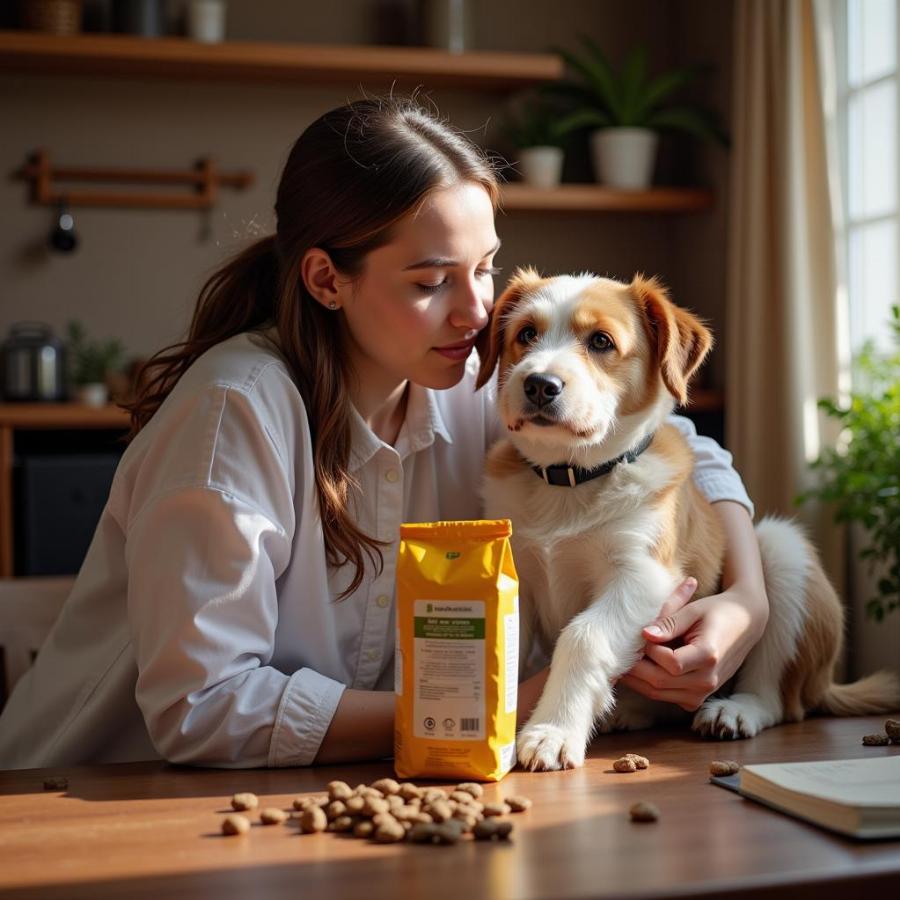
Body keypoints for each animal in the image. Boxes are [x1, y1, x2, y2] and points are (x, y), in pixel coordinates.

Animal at [474, 268, 896, 772]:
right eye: (526, 335)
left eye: (600, 341)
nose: (540, 384)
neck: (569, 484)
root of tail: (826, 683)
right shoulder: (515, 574)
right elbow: (506, 648)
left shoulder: (645, 575)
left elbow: (583, 636)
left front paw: (552, 731)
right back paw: (627, 711)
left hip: (781, 550)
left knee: (780, 699)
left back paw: (735, 710)